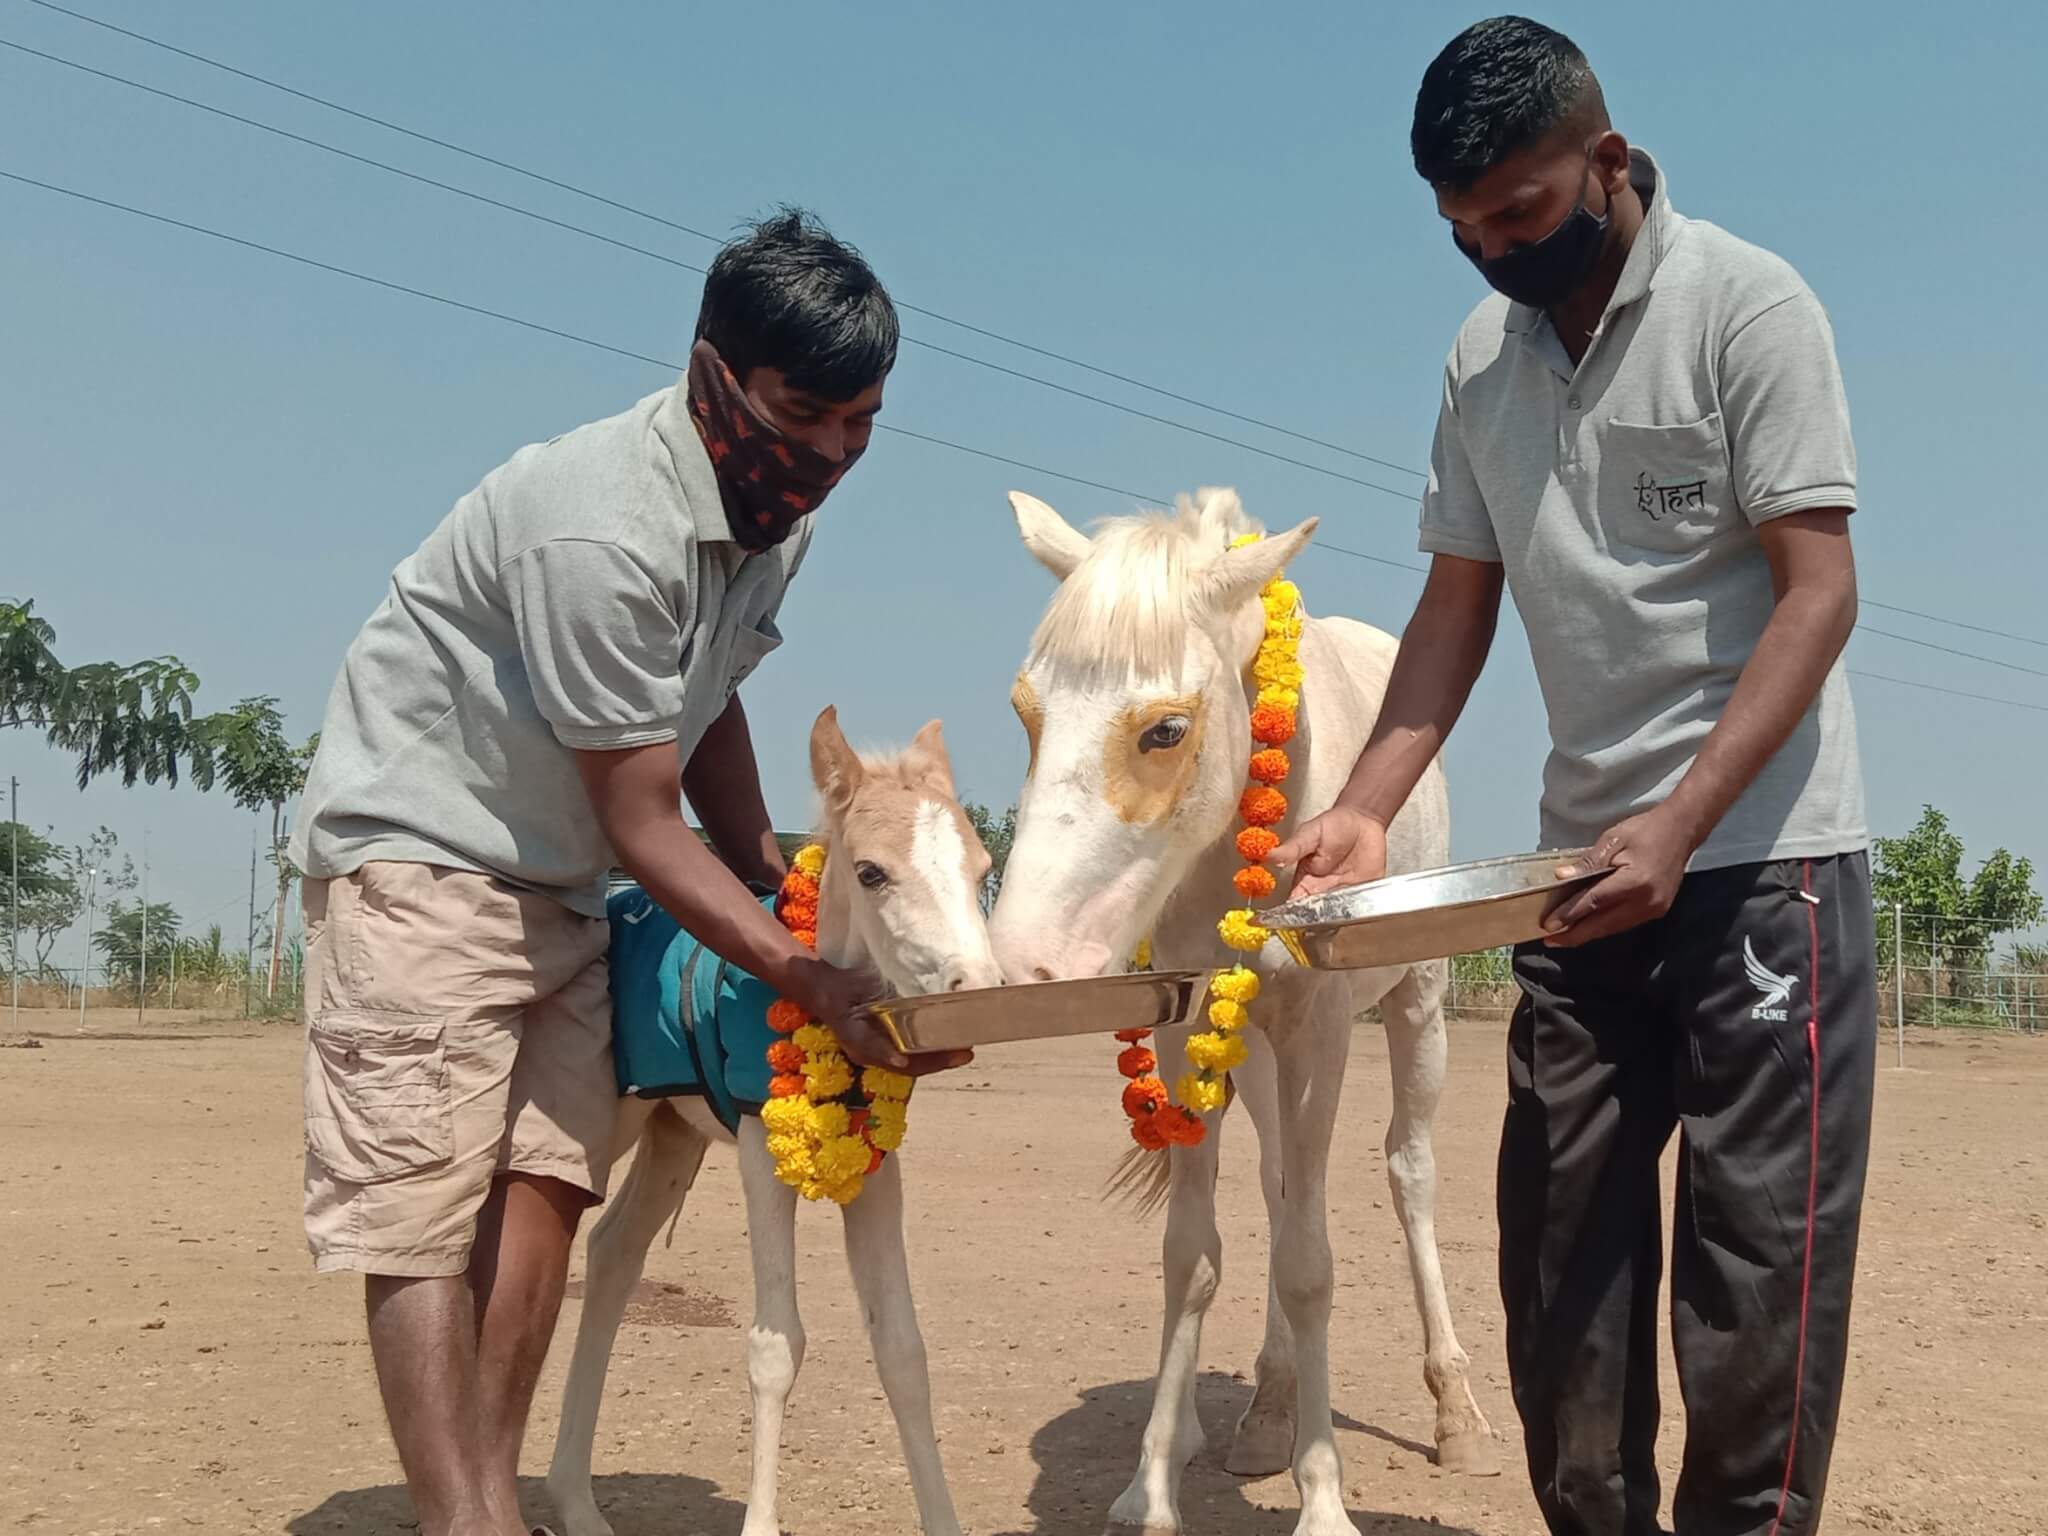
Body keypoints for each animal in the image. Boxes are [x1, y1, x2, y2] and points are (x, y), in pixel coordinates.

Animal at [540, 708, 995, 1536]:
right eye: (873, 872)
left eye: (981, 870)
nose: (974, 987)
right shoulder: (758, 1146)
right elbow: (777, 1344)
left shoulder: (878, 1169)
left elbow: (903, 1349)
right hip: (609, 1114)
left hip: (672, 1130)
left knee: (614, 1250)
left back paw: (577, 1504)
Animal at [983, 489, 1499, 1536]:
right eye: (1026, 710)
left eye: (1165, 730)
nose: (1025, 965)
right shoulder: (1187, 1027)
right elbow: (1194, 1254)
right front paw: (1150, 1488)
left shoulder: (1323, 1026)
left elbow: (1310, 1262)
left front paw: (1325, 1500)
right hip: (1251, 1049)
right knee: (1275, 1182)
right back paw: (1264, 1416)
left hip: (1416, 1005)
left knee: (1407, 1173)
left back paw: (1456, 1416)